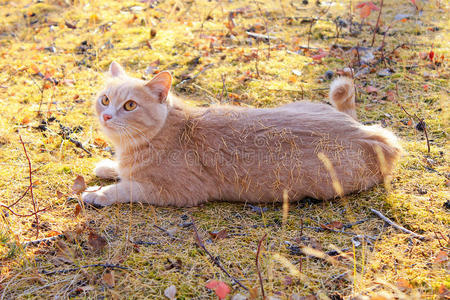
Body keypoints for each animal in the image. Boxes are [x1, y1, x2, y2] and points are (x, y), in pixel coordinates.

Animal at [82, 62, 402, 207]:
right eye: (105, 100)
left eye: (130, 105)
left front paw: (97, 193)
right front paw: (108, 166)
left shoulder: (176, 193)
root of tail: (364, 131)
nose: (107, 115)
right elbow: (121, 171)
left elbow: (126, 188)